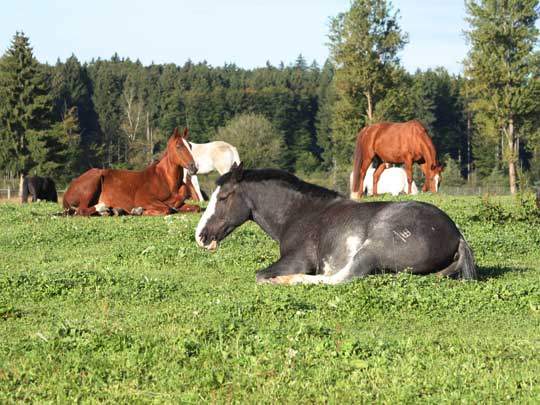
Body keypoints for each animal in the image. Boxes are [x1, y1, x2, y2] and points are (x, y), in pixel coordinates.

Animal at [61, 128, 200, 216]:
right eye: (178, 146)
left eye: (190, 146)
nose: (194, 167)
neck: (167, 182)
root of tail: (67, 191)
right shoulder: (144, 199)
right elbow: (167, 209)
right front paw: (140, 211)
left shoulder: (179, 204)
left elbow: (195, 207)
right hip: (92, 184)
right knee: (81, 210)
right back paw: (105, 208)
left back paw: (113, 211)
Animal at [195, 163, 476, 284]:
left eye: (223, 197)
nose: (201, 236)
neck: (299, 214)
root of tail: (456, 235)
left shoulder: (297, 260)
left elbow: (260, 275)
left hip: (372, 249)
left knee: (339, 278)